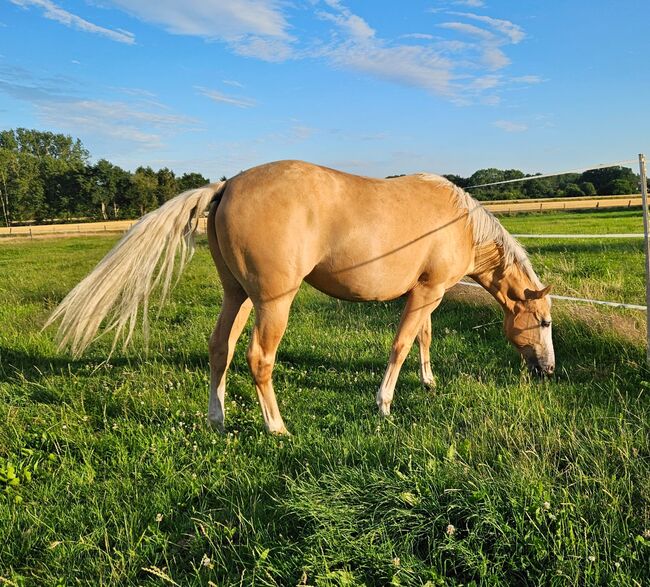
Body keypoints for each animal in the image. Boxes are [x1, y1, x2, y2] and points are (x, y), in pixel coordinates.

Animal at [46, 161, 552, 436]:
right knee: (257, 358)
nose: (547, 370)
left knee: (220, 349)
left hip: (237, 296)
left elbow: (422, 340)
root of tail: (226, 186)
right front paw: (384, 404)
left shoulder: (425, 293)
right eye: (545, 323)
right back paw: (276, 426)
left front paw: (427, 382)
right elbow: (401, 345)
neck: (458, 221)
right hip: (273, 303)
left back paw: (217, 418)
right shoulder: (427, 293)